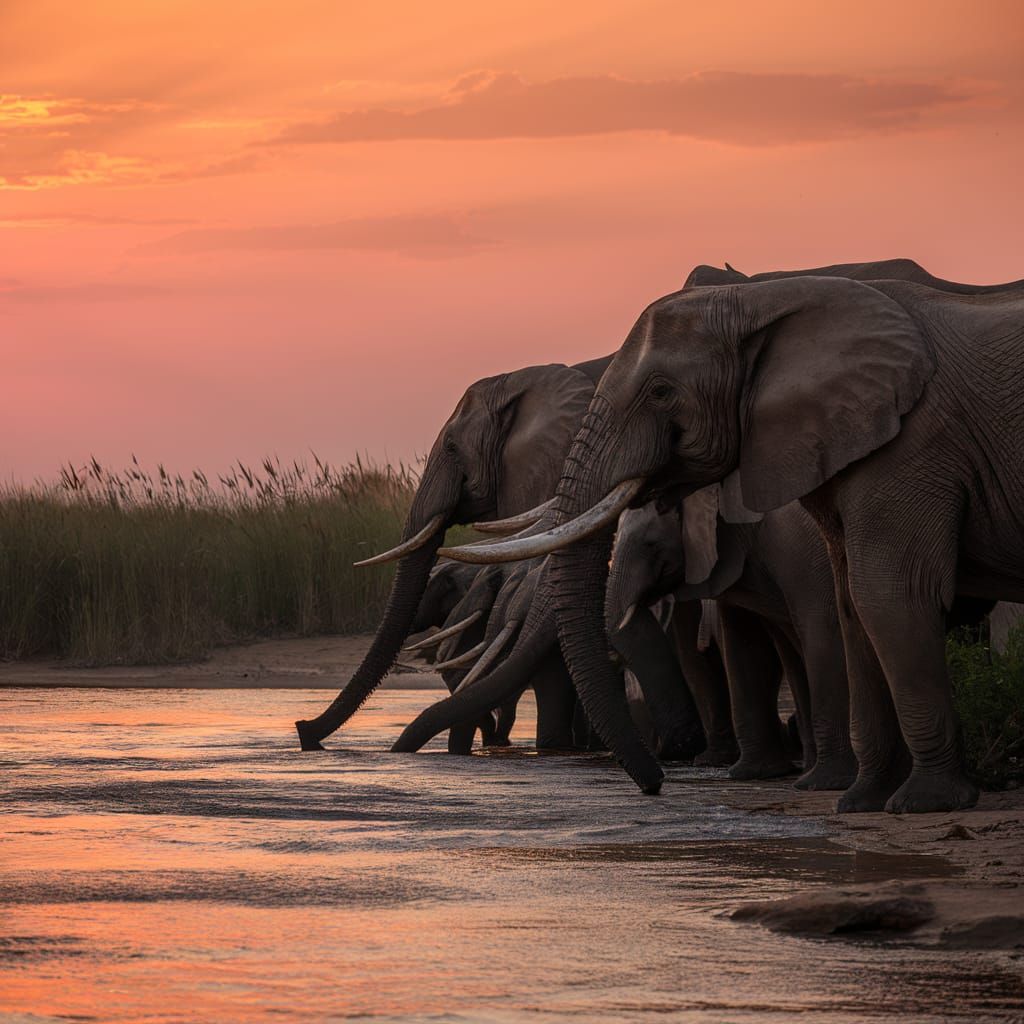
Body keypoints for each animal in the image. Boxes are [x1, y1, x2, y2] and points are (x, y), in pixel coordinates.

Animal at [443, 271, 1024, 814]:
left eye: (661, 392)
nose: (655, 784)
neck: (770, 301)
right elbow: (833, 614)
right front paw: (857, 801)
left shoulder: (911, 446)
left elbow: (884, 598)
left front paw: (920, 803)